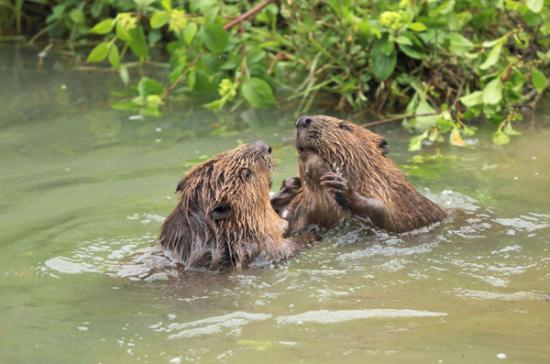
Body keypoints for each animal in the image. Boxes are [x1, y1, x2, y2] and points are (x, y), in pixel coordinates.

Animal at [160, 141, 314, 272]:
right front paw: (312, 233)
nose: (265, 146)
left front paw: (292, 185)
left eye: (223, 154)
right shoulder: (261, 247)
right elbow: (287, 248)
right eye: (246, 173)